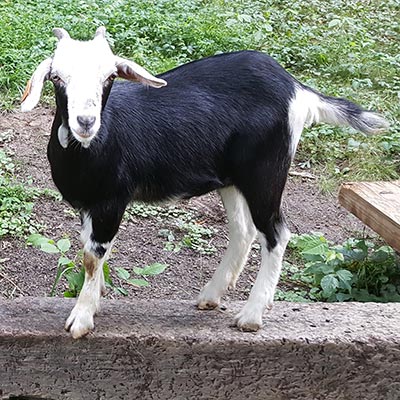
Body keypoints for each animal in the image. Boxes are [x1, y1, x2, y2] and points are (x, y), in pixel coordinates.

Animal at [21, 27, 388, 339]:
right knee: (244, 230)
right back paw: (212, 295)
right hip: (232, 180)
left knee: (276, 232)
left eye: (110, 76)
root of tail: (295, 87)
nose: (85, 121)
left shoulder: (112, 200)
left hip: (266, 172)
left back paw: (252, 315)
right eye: (57, 77)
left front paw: (81, 319)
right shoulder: (88, 205)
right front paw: (94, 301)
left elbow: (92, 256)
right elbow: (91, 252)